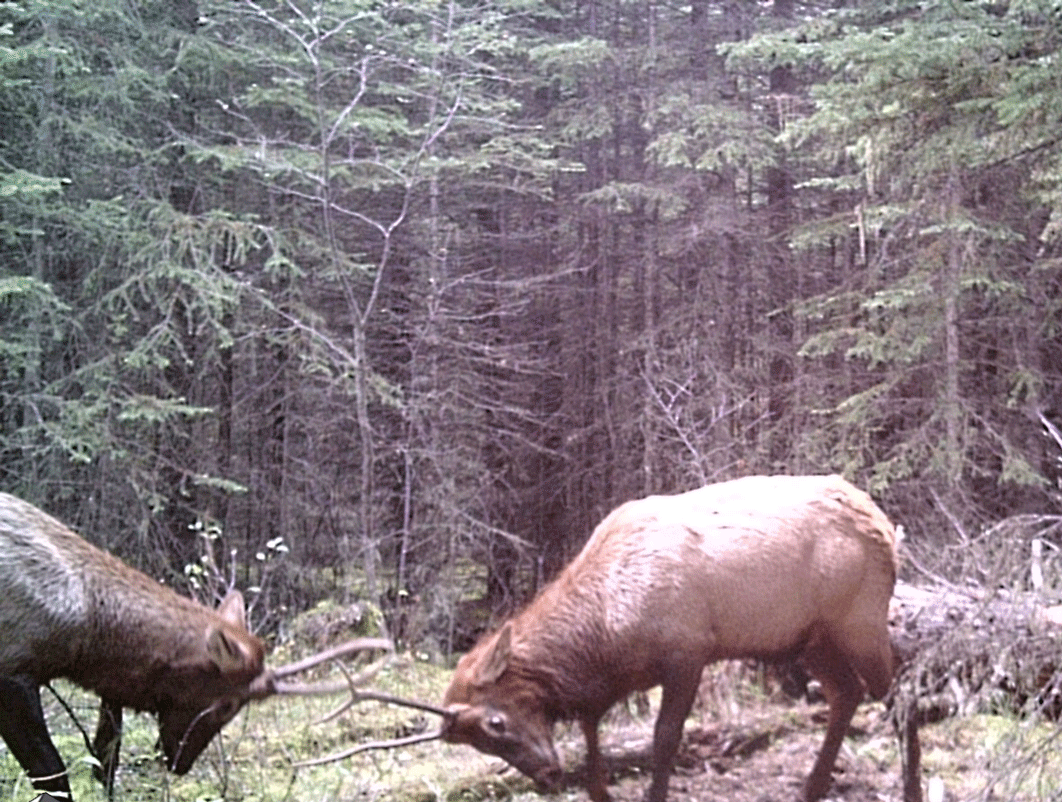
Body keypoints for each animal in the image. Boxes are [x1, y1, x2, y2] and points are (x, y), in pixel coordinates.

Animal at [0, 492, 392, 798]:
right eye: (228, 704)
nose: (180, 764)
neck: (85, 635)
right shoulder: (13, 670)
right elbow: (55, 776)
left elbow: (105, 759)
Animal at [437, 475, 896, 802]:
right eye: (481, 746)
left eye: (495, 722)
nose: (548, 775)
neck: (606, 634)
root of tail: (886, 527)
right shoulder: (607, 687)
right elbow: (591, 743)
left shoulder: (687, 653)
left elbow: (664, 739)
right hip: (810, 640)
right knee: (847, 692)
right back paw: (812, 786)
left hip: (859, 622)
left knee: (889, 685)